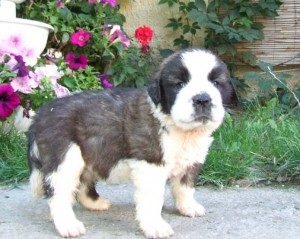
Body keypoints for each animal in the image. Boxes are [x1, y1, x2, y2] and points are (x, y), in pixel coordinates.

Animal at [28, 47, 239, 238]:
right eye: (179, 84)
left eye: (216, 83)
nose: (202, 99)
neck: (179, 128)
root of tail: (40, 114)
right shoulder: (151, 164)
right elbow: (153, 199)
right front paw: (156, 226)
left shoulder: (191, 160)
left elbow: (184, 187)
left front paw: (188, 207)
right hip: (65, 157)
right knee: (58, 193)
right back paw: (68, 225)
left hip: (88, 153)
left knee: (82, 183)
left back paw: (96, 204)